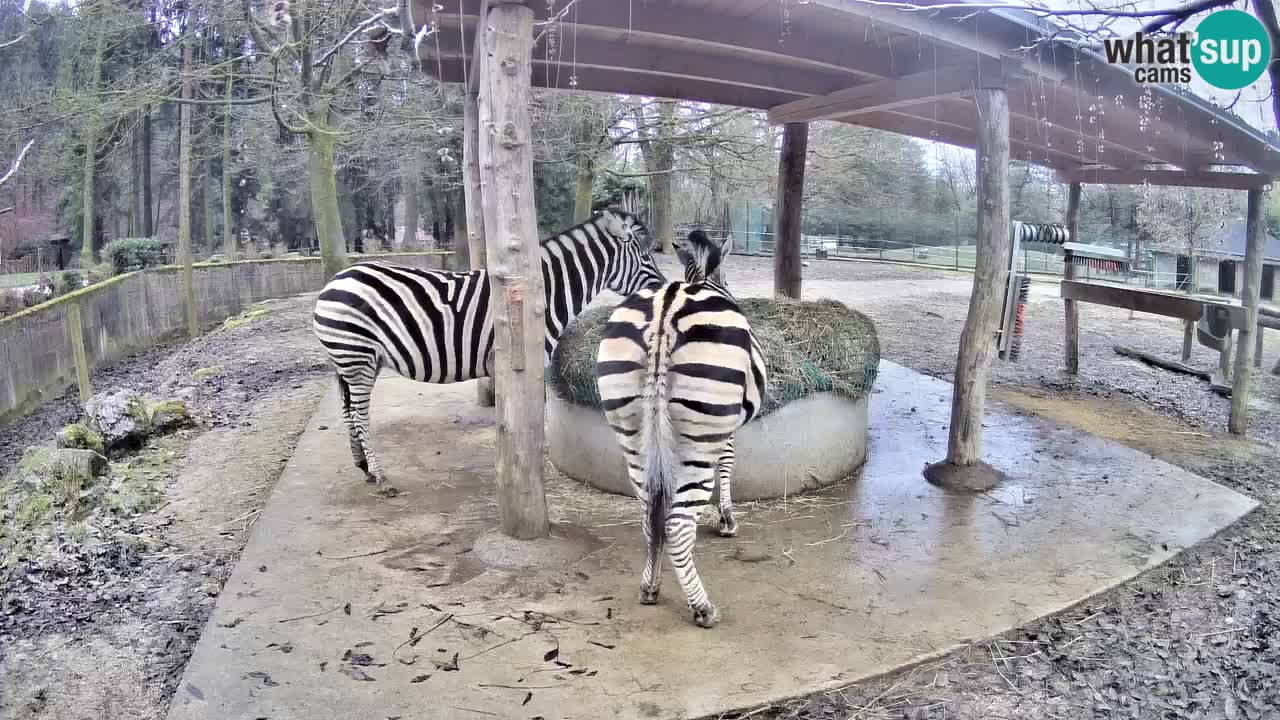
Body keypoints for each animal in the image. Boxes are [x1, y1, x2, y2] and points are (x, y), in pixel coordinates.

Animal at [313, 208, 665, 491]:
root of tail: (335, 280)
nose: (663, 290)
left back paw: (363, 467)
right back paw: (380, 476)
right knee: (359, 415)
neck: (545, 292)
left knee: (348, 410)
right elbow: (529, 417)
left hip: (354, 360)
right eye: (646, 257)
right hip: (356, 356)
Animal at [593, 229, 762, 627]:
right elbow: (727, 463)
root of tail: (665, 310)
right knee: (677, 524)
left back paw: (650, 587)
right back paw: (703, 608)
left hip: (631, 431)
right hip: (700, 435)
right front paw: (727, 520)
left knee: (648, 514)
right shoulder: (726, 426)